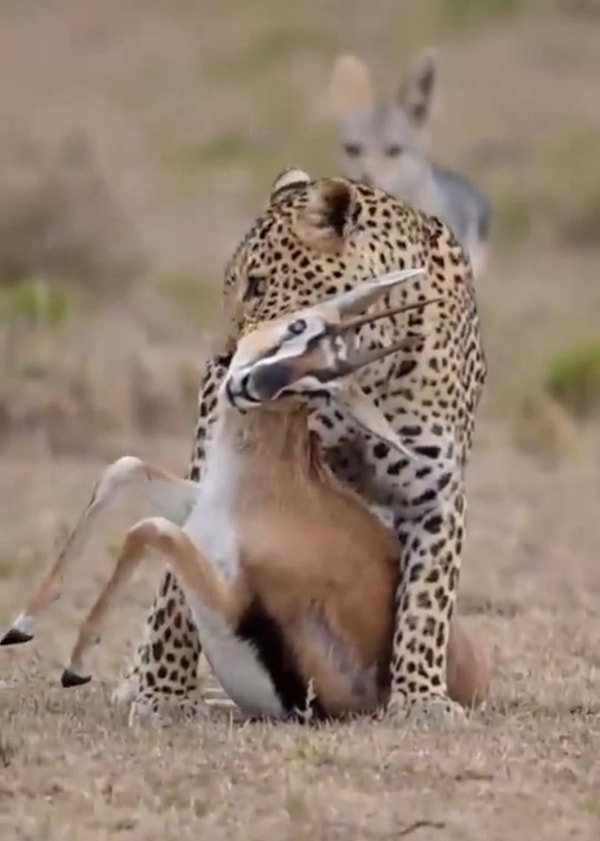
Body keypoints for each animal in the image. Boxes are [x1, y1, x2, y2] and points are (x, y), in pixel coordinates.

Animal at [113, 167, 488, 724]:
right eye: (231, 289)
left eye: (259, 286)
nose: (221, 359)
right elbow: (174, 596)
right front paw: (164, 694)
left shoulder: (433, 493)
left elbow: (427, 602)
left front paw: (421, 697)